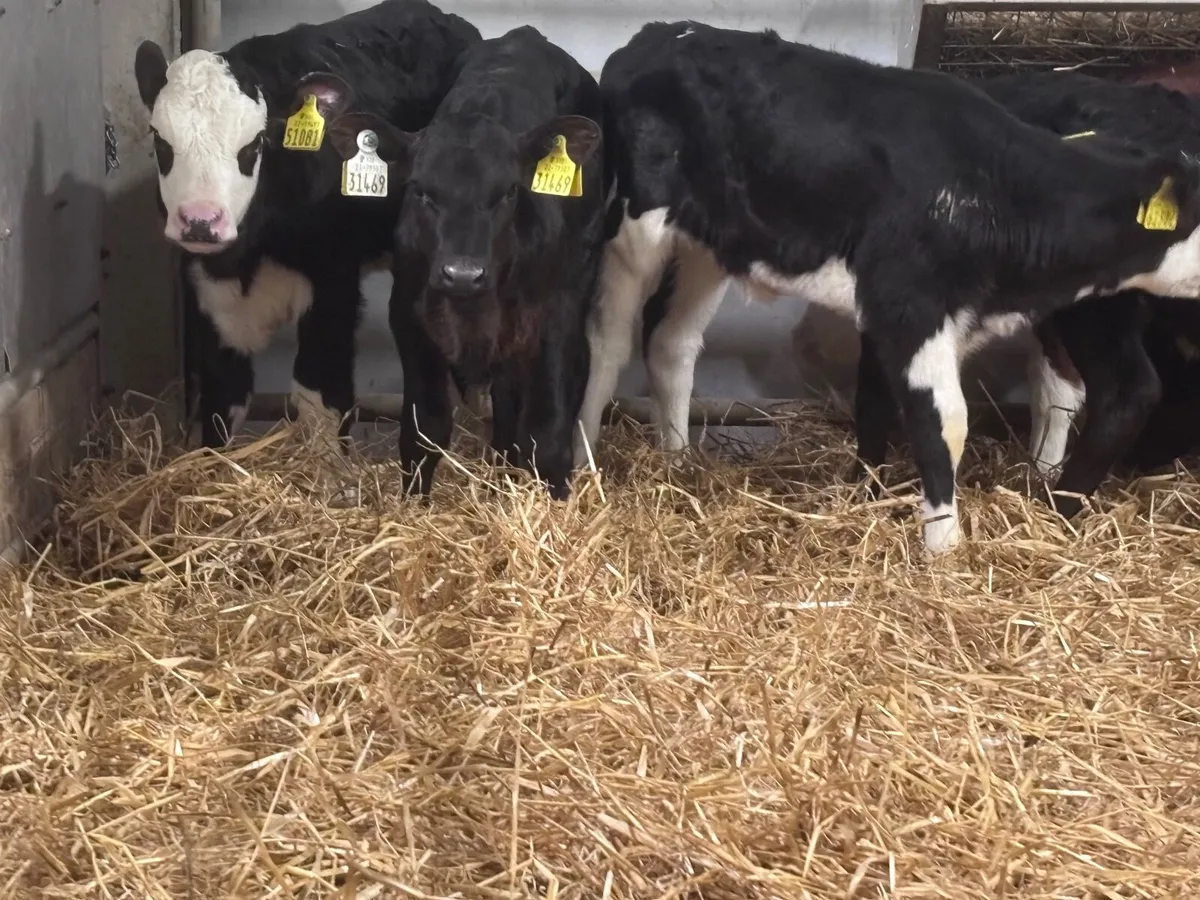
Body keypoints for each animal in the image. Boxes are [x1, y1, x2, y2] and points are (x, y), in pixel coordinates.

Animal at [133, 0, 480, 449]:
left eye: (254, 145)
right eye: (161, 142)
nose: (200, 221)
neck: (250, 255)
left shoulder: (334, 286)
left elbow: (321, 399)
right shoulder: (209, 295)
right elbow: (224, 400)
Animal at [326, 25, 605, 499]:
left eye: (508, 192)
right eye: (421, 190)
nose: (462, 274)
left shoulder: (555, 319)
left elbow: (547, 435)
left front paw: (556, 505)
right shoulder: (410, 317)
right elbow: (424, 430)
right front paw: (413, 504)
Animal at [576, 21, 1200, 555]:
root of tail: (662, 33)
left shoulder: (898, 309)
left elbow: (879, 400)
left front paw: (869, 495)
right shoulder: (910, 306)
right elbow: (944, 422)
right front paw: (943, 552)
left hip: (710, 245)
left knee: (672, 343)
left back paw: (677, 462)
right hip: (632, 229)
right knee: (607, 344)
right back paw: (584, 457)